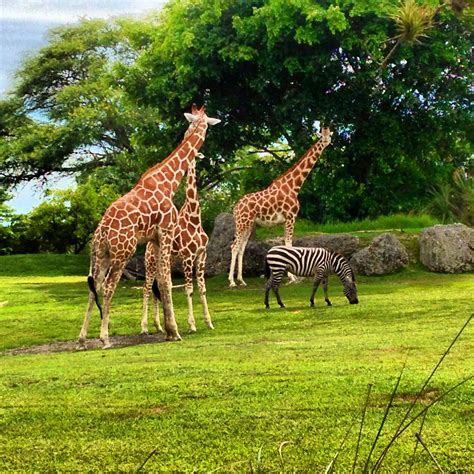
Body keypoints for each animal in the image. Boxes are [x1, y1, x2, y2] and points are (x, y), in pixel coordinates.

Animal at [142, 152, 214, 334]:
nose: (198, 156)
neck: (194, 219)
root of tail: (148, 246)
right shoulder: (188, 256)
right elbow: (189, 290)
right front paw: (192, 325)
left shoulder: (202, 255)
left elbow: (202, 289)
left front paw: (209, 323)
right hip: (150, 264)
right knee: (146, 289)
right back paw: (144, 327)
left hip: (163, 262)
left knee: (159, 288)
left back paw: (159, 326)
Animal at [228, 128, 332, 286]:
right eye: (321, 135)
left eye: (329, 135)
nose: (326, 142)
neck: (294, 187)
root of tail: (235, 208)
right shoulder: (291, 217)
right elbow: (289, 245)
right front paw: (293, 278)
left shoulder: (286, 220)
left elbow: (287, 245)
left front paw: (291, 277)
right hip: (242, 223)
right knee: (234, 246)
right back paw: (232, 282)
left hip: (249, 225)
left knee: (241, 247)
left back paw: (241, 280)